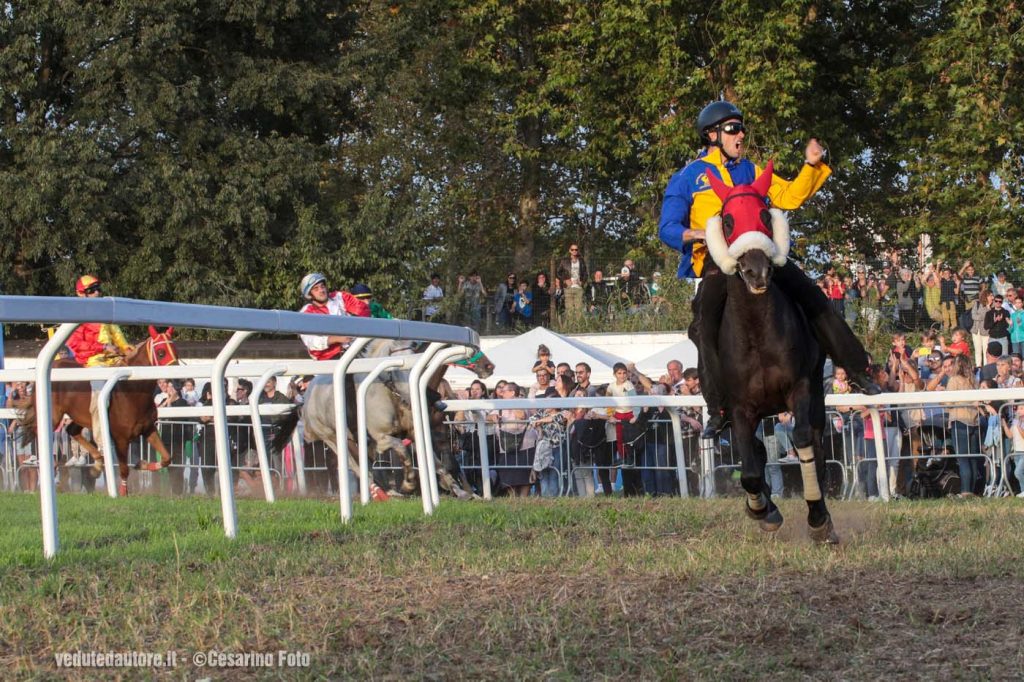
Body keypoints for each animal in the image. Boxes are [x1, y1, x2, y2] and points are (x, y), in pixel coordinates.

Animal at [20, 325, 180, 493]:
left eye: (175, 351)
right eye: (161, 352)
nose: (177, 379)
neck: (132, 391)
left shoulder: (148, 428)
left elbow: (167, 458)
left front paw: (140, 463)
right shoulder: (121, 438)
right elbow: (124, 470)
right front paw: (122, 492)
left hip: (81, 416)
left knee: (72, 430)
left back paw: (96, 465)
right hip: (54, 415)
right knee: (39, 431)